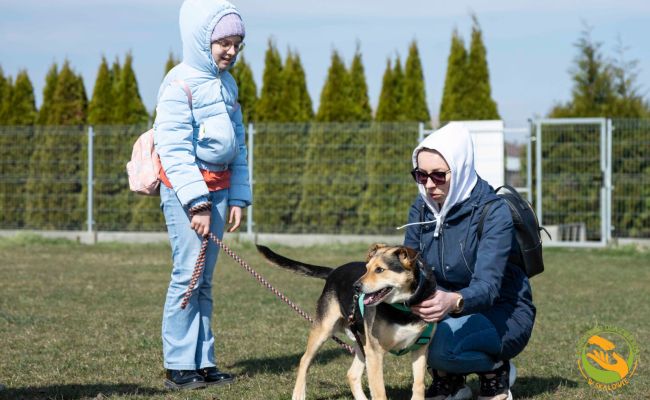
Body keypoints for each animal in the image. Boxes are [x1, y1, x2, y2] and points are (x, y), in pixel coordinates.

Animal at [256, 243, 437, 400]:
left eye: (380, 270)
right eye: (366, 268)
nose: (356, 286)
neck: (404, 306)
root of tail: (334, 271)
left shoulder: (420, 349)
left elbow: (419, 385)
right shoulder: (375, 352)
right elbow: (379, 392)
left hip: (361, 342)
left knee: (352, 374)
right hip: (324, 329)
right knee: (304, 360)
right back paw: (299, 394)